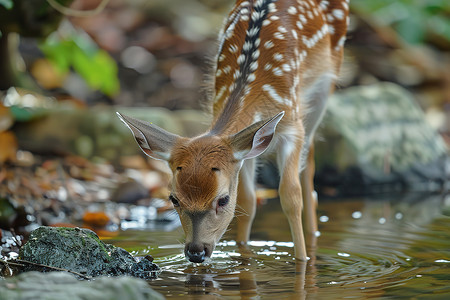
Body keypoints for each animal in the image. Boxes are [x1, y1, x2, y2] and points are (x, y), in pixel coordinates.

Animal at [116, 0, 348, 262]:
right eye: (174, 199)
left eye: (223, 200)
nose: (196, 252)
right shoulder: (245, 145)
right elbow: (248, 201)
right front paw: (243, 256)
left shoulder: (292, 124)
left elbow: (290, 196)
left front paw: (303, 260)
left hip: (326, 81)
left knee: (310, 154)